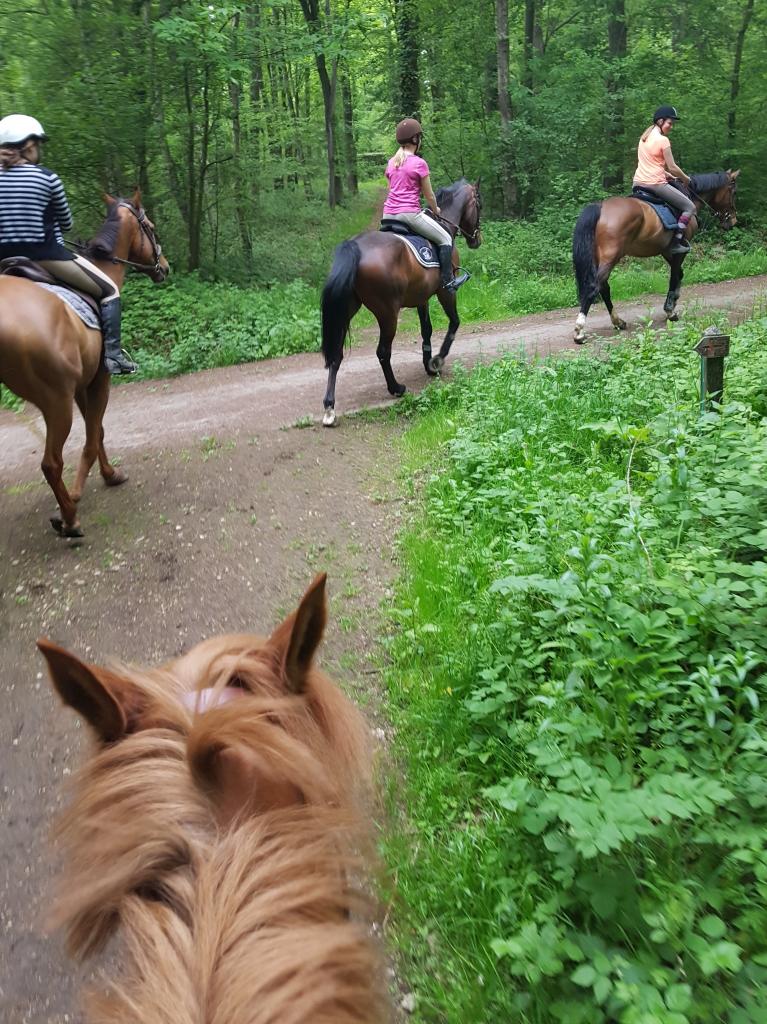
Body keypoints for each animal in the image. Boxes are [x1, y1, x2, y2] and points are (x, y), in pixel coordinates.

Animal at [0, 193, 168, 544]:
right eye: (149, 225)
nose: (164, 266)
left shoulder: (82, 384)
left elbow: (97, 431)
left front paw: (110, 474)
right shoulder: (100, 379)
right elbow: (92, 437)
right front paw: (78, 494)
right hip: (55, 402)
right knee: (50, 464)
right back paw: (70, 519)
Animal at [317, 178, 479, 425]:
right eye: (479, 204)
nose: (476, 240)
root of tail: (356, 246)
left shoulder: (422, 298)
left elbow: (426, 330)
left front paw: (428, 363)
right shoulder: (445, 292)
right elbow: (454, 323)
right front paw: (437, 361)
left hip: (347, 309)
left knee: (336, 355)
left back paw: (329, 407)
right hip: (387, 313)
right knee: (383, 352)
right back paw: (396, 388)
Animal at [573, 169, 737, 342]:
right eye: (733, 192)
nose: (733, 221)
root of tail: (600, 207)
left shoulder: (666, 251)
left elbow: (679, 274)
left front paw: (674, 300)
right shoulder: (678, 250)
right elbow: (674, 276)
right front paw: (670, 310)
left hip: (601, 257)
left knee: (604, 287)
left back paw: (618, 322)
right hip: (611, 256)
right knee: (594, 287)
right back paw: (579, 330)